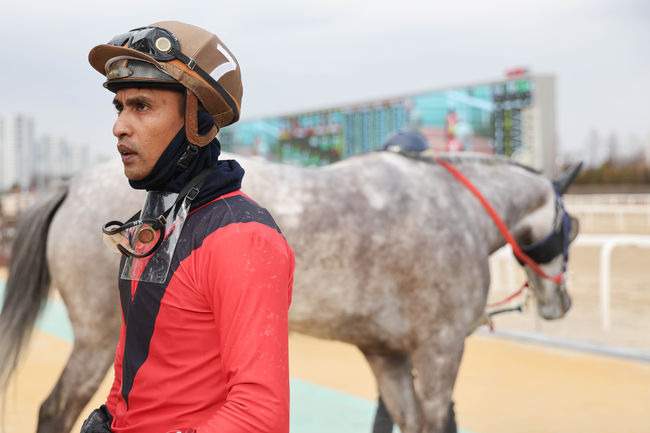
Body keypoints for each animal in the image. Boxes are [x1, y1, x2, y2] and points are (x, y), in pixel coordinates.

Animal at [0, 150, 576, 430]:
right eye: (571, 226)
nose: (562, 301)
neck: (454, 207)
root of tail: (70, 185)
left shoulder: (387, 353)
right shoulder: (441, 347)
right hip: (100, 338)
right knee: (55, 410)